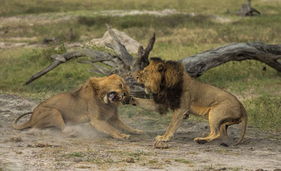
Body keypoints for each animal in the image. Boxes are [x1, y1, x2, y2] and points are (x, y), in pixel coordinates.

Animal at [12, 74, 142, 140]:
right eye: (120, 85)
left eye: (126, 90)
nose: (125, 95)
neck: (105, 100)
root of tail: (31, 118)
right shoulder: (96, 120)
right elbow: (111, 129)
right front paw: (122, 136)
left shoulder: (113, 118)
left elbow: (125, 126)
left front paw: (136, 131)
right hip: (54, 111)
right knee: (63, 129)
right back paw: (73, 132)